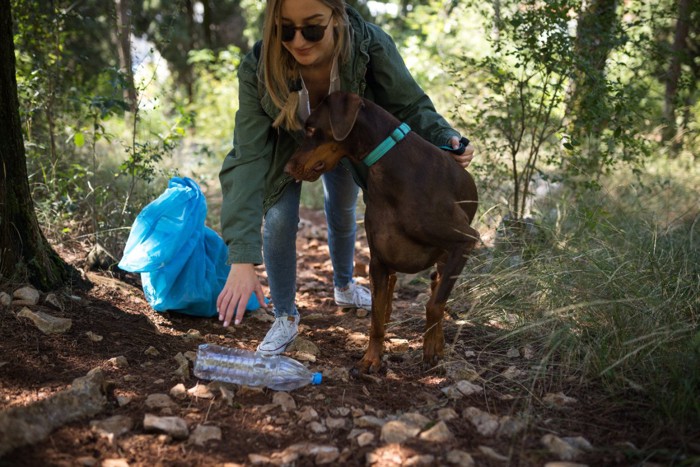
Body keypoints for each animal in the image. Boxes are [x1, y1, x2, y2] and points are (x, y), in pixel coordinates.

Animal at [284, 92, 476, 372]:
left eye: (310, 129)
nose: (286, 169)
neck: (390, 166)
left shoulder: (465, 241)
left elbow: (435, 305)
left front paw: (430, 348)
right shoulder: (379, 260)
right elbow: (376, 316)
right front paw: (371, 358)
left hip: (449, 255)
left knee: (437, 287)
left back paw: (437, 343)